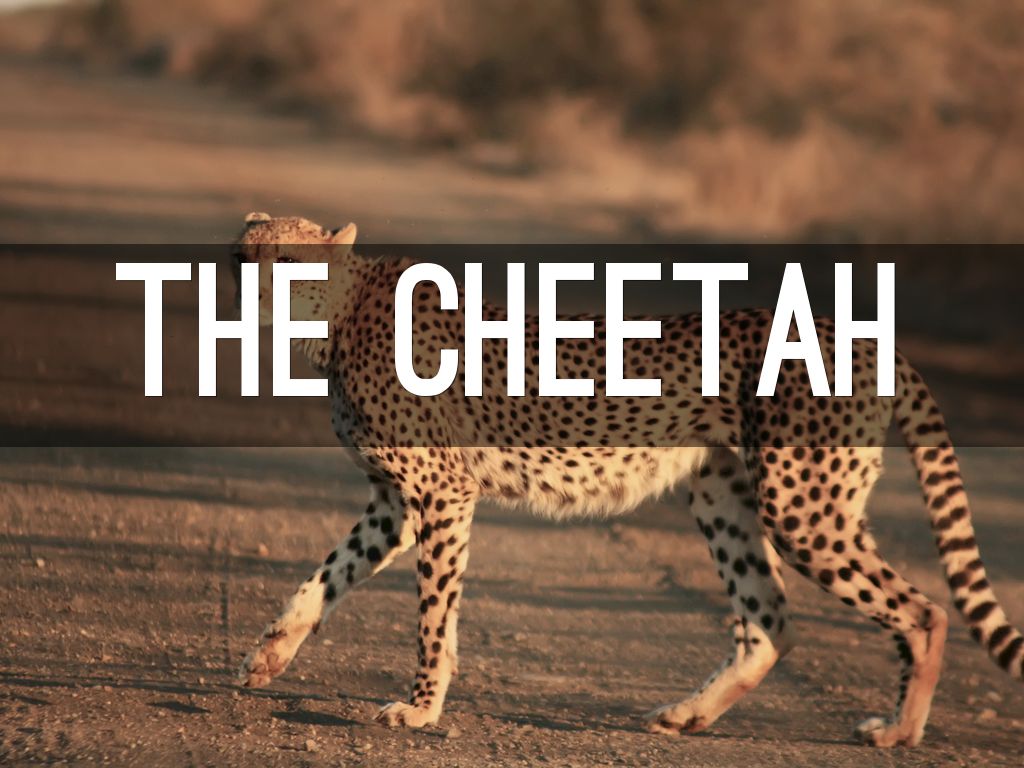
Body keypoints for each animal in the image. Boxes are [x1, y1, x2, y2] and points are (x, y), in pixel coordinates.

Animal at [233, 212, 1022, 747]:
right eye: (245, 255)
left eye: (289, 258)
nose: (250, 286)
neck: (337, 317)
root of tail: (859, 333)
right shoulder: (397, 502)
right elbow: (325, 575)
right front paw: (270, 654)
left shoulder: (442, 493)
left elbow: (433, 615)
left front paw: (421, 707)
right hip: (725, 494)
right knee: (768, 620)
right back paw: (689, 713)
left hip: (802, 506)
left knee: (925, 612)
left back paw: (900, 731)